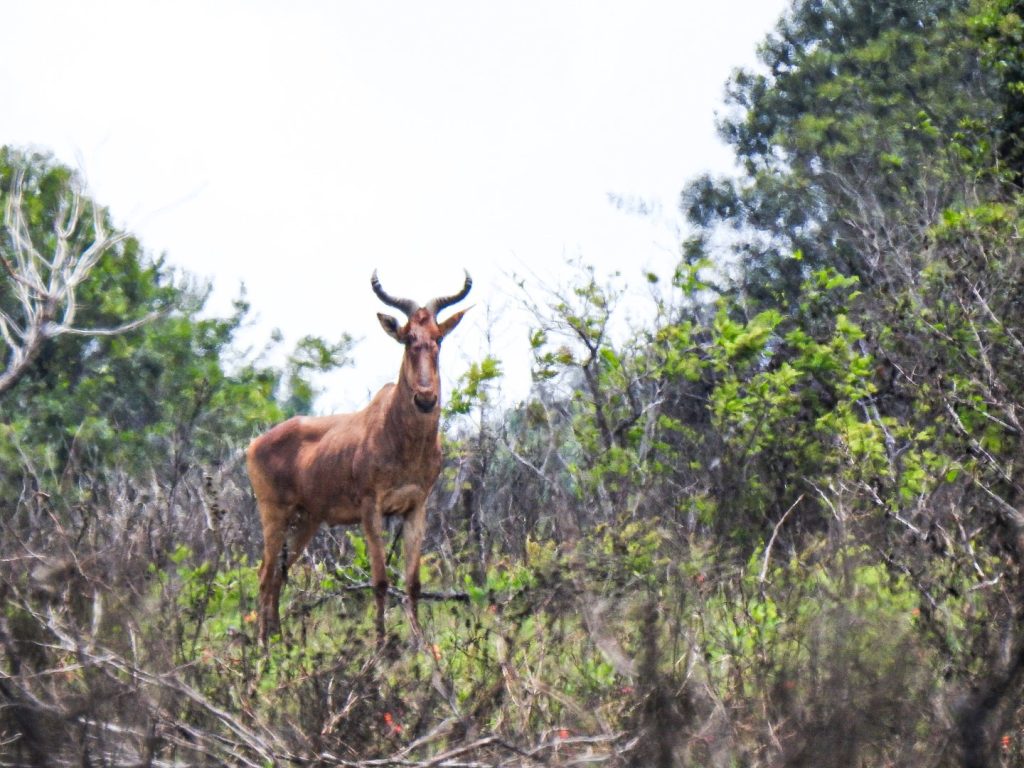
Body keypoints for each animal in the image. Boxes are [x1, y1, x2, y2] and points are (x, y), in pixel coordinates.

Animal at [246, 270, 471, 645]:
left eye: (438, 337)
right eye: (407, 338)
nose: (425, 398)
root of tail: (254, 445)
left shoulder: (416, 507)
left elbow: (413, 583)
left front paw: (421, 646)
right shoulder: (370, 508)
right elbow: (379, 580)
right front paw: (380, 645)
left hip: (307, 519)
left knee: (279, 574)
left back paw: (281, 644)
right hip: (273, 513)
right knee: (265, 574)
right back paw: (264, 646)